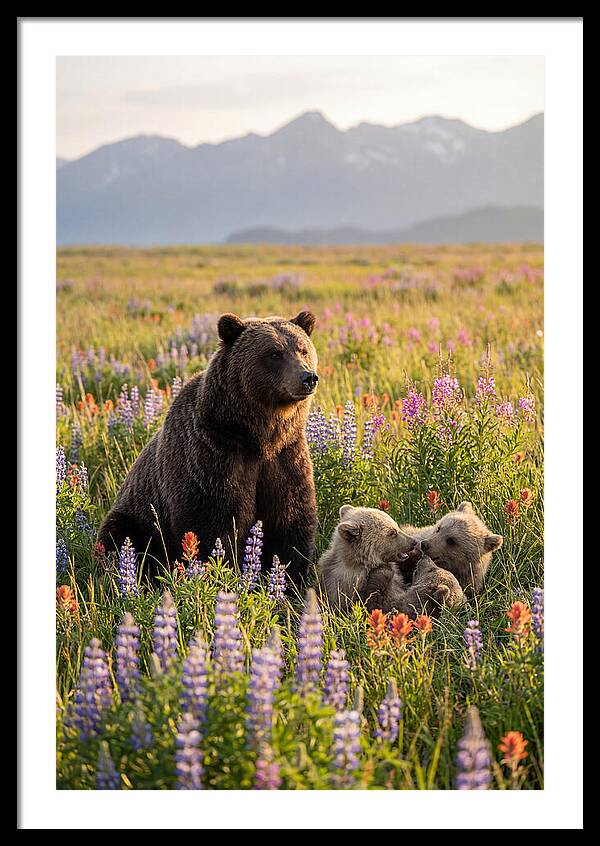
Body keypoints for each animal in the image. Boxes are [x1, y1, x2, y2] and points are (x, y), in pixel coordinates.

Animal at [98, 311, 319, 585]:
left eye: (303, 350)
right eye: (274, 353)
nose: (307, 377)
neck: (257, 436)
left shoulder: (286, 456)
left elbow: (291, 519)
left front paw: (290, 580)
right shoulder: (212, 455)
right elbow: (212, 524)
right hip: (137, 517)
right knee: (122, 538)